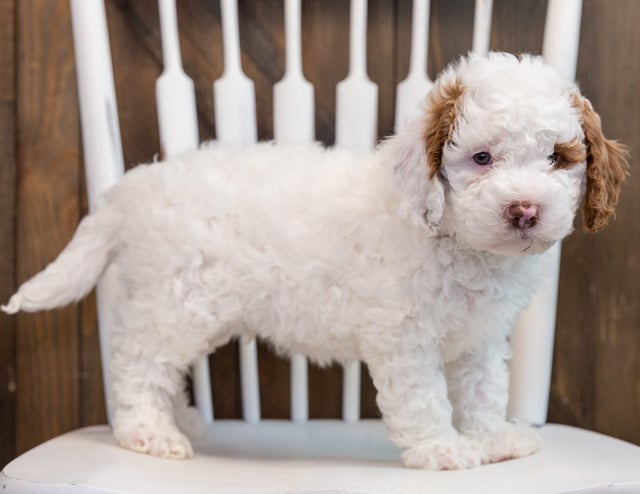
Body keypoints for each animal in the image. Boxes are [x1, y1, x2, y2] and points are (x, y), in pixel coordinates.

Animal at [2, 52, 628, 468]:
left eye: (558, 157)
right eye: (481, 158)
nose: (524, 210)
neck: (457, 240)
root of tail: (129, 191)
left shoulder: (480, 337)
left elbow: (482, 390)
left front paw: (494, 438)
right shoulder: (403, 336)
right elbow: (424, 396)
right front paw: (443, 449)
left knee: (158, 365)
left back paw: (177, 418)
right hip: (177, 302)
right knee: (138, 362)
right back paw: (148, 433)